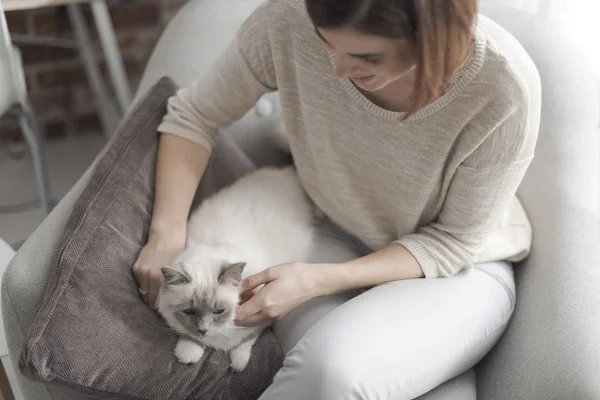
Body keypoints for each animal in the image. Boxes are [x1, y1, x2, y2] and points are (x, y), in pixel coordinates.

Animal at [157, 166, 316, 372]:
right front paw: (189, 353)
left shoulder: (262, 319)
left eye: (218, 311)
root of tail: (288, 172)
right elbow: (188, 337)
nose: (203, 330)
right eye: (189, 312)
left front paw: (238, 364)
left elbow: (246, 342)